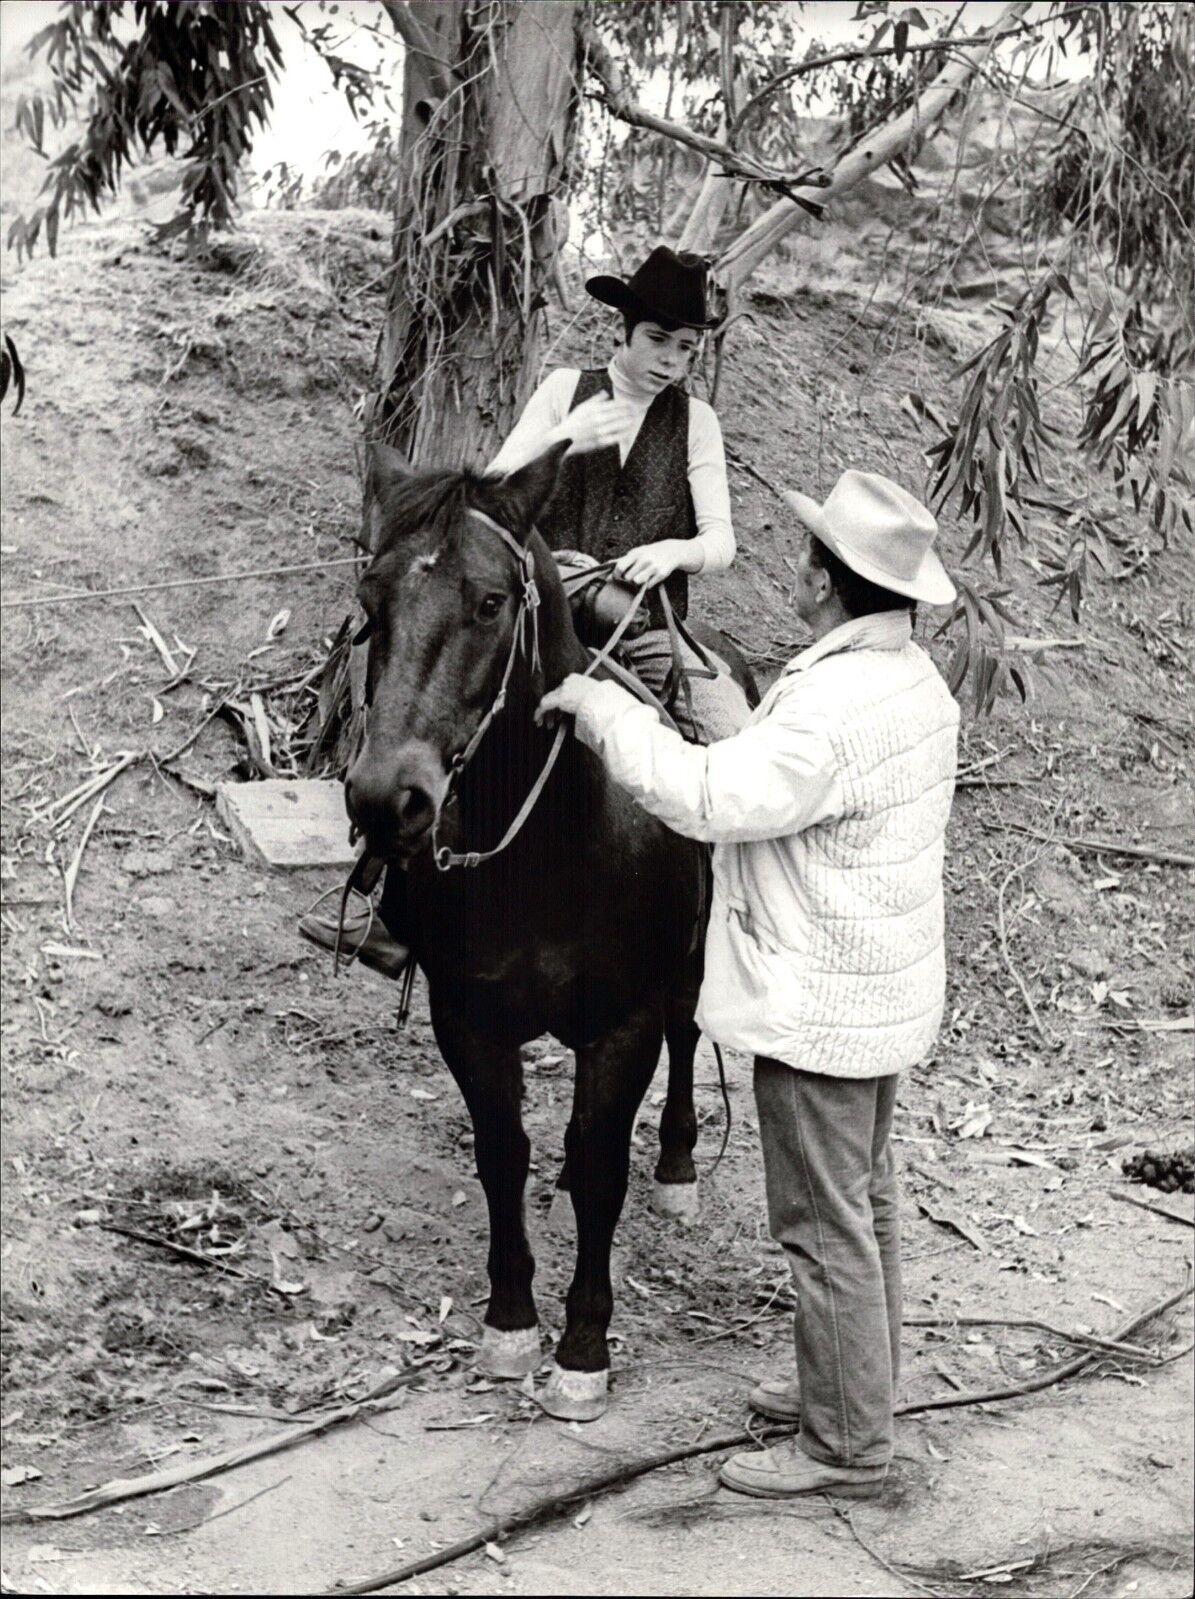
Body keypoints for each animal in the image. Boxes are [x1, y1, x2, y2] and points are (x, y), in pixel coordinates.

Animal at [345, 441, 751, 1426]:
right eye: (371, 603)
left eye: (490, 601)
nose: (385, 800)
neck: (546, 850)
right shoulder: (467, 1019)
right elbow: (505, 1154)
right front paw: (509, 1320)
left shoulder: (623, 1021)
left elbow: (603, 1162)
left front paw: (582, 1349)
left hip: (686, 969)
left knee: (687, 1038)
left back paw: (677, 1165)